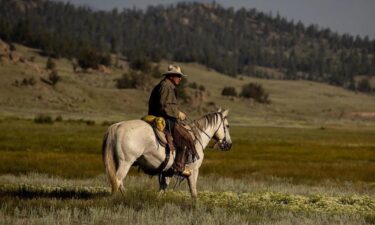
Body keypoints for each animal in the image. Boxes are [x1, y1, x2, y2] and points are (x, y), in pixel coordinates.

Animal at [103, 108, 232, 198]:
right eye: (227, 126)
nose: (229, 144)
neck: (197, 137)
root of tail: (116, 126)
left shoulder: (168, 171)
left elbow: (162, 189)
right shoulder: (194, 170)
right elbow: (193, 192)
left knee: (118, 182)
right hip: (126, 162)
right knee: (117, 181)